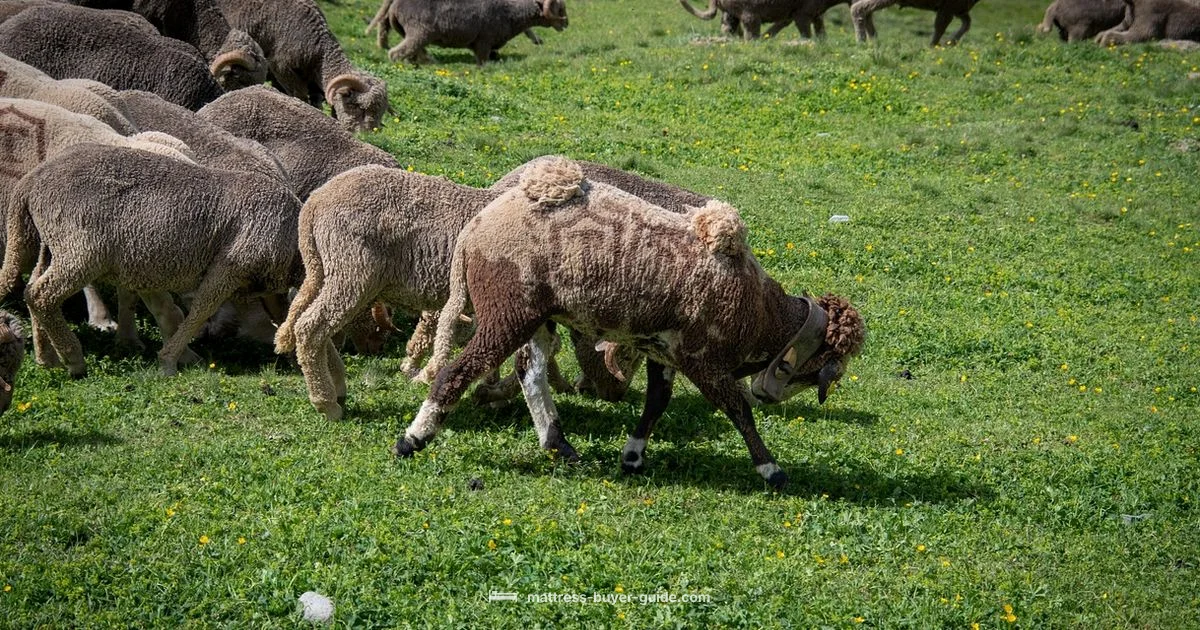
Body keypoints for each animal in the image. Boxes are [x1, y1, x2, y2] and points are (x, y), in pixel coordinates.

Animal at [0, 143, 300, 378]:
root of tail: (30, 181)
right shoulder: (232, 265)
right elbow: (201, 309)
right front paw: (170, 361)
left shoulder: (271, 283)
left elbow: (284, 315)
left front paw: (293, 357)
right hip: (80, 249)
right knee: (42, 295)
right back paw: (73, 359)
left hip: (50, 244)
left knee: (32, 287)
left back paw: (46, 358)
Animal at [212, 0, 389, 133]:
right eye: (357, 106)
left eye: (380, 113)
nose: (366, 137)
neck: (318, 51)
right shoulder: (281, 68)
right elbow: (299, 97)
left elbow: (315, 102)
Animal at [368, 0, 568, 66]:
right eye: (559, 9)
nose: (566, 23)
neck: (511, 11)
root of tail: (395, 6)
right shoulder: (484, 40)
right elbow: (483, 60)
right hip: (419, 32)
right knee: (397, 52)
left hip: (413, 32)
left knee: (413, 50)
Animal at [403, 158, 866, 489]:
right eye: (825, 367)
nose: (768, 395)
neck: (762, 315)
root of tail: (474, 229)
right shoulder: (702, 357)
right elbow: (737, 410)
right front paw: (771, 469)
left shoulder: (664, 350)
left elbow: (657, 403)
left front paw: (633, 455)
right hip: (507, 311)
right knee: (456, 372)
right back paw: (412, 438)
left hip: (537, 316)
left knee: (530, 373)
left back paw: (559, 445)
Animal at [850, 0, 982, 46]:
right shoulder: (948, 8)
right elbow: (939, 28)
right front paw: (932, 47)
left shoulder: (959, 8)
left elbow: (967, 23)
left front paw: (952, 41)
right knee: (858, 8)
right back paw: (861, 41)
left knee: (866, 11)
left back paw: (873, 40)